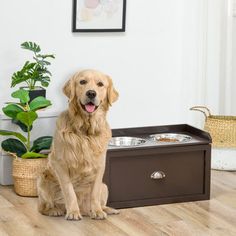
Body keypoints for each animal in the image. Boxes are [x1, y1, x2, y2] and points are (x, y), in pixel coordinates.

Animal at [37, 69, 119, 220]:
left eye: (100, 84)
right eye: (82, 82)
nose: (91, 93)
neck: (86, 131)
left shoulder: (100, 166)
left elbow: (94, 193)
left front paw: (97, 211)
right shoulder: (59, 163)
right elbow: (69, 191)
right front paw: (73, 212)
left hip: (105, 186)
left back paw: (107, 209)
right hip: (42, 179)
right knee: (42, 207)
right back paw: (55, 210)